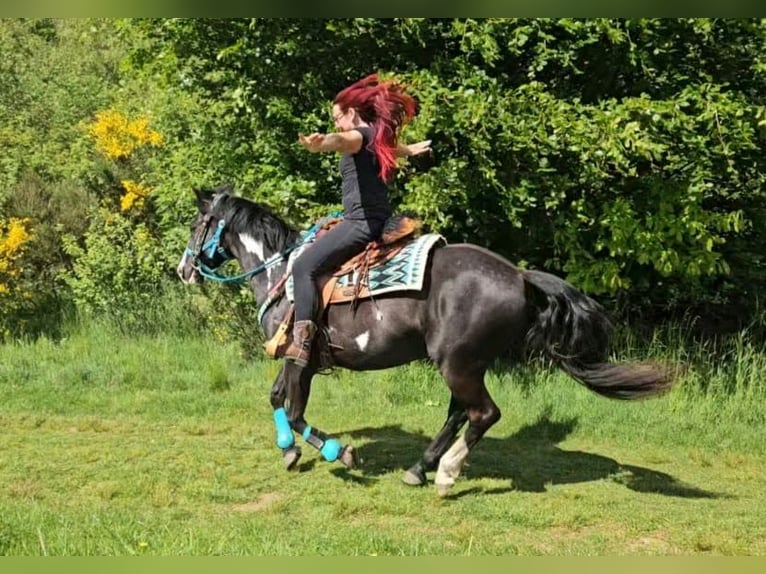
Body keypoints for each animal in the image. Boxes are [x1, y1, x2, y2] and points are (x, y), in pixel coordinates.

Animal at [177, 184, 674, 496]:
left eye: (196, 224)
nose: (183, 269)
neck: (281, 270)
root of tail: (517, 274)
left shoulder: (300, 358)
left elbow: (295, 410)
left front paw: (340, 452)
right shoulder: (294, 360)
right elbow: (277, 399)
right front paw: (289, 452)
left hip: (456, 362)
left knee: (483, 413)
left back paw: (446, 475)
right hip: (467, 362)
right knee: (460, 413)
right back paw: (420, 469)